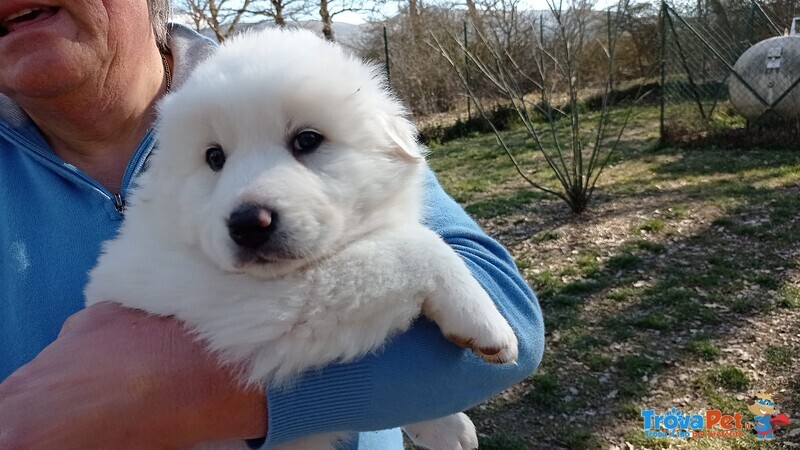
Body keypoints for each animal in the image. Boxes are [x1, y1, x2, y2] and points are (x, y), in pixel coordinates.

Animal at [83, 28, 520, 450]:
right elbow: (413, 247)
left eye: (307, 140)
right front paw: (486, 324)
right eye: (214, 158)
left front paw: (446, 427)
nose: (247, 224)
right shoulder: (238, 304)